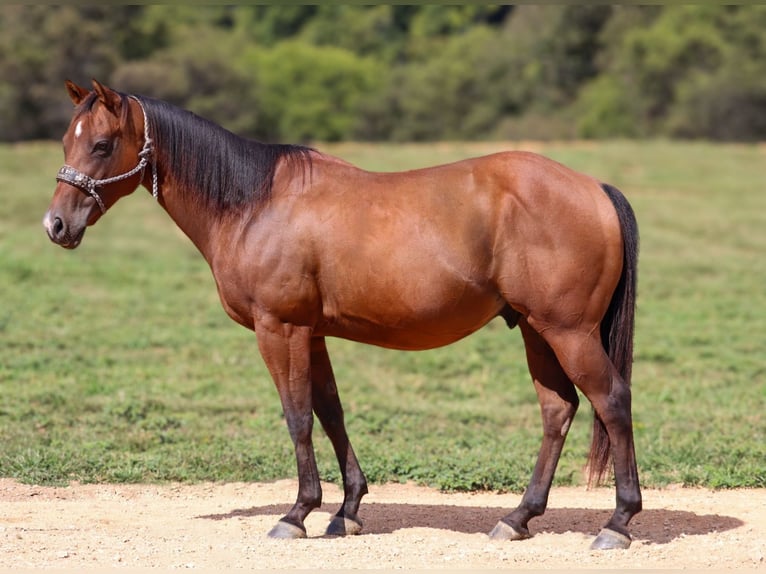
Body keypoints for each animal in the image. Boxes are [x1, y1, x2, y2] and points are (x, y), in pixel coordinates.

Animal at [43, 80, 641, 550]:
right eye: (67, 140)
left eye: (101, 144)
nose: (55, 225)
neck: (254, 203)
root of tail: (595, 189)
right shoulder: (312, 334)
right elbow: (331, 412)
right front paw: (347, 509)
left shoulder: (279, 329)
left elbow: (297, 417)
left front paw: (297, 513)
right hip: (537, 331)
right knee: (558, 410)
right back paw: (517, 518)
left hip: (569, 331)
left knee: (611, 400)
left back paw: (617, 522)